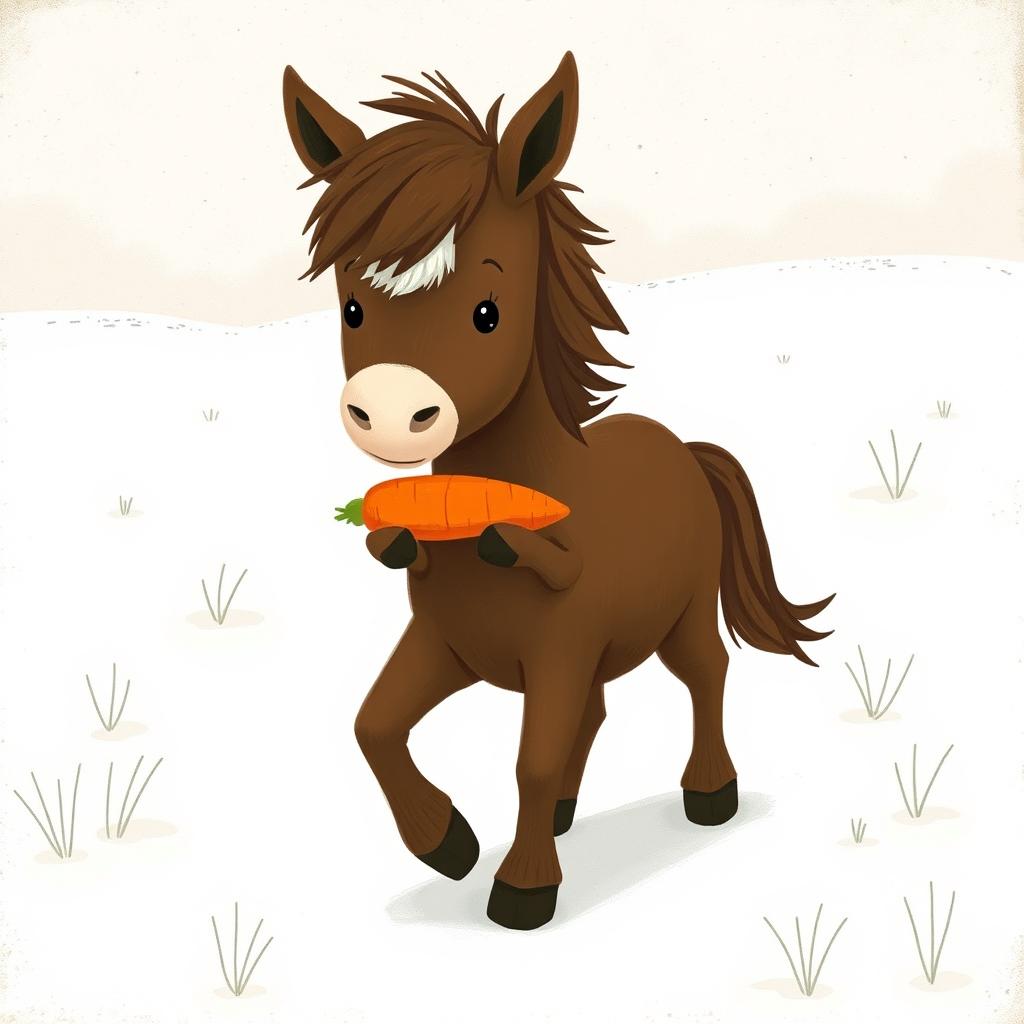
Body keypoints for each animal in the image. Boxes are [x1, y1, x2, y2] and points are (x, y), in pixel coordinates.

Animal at [282, 52, 833, 931]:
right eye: (353, 307)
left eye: (487, 312)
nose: (393, 414)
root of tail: (683, 448)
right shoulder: (447, 643)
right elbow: (374, 727)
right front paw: (447, 843)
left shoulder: (557, 647)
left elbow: (529, 763)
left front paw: (523, 886)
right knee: (597, 712)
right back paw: (571, 813)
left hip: (678, 616)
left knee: (706, 673)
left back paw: (709, 793)